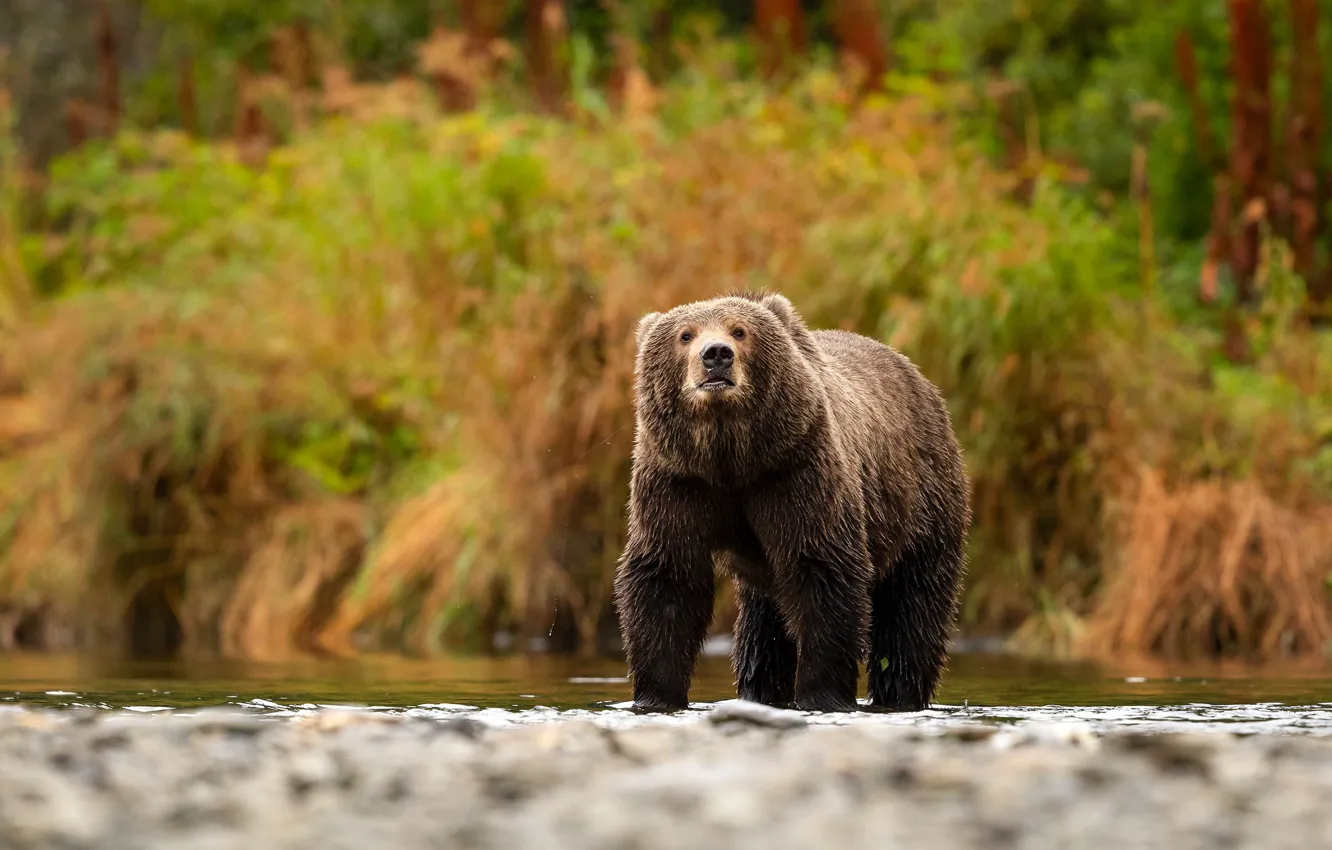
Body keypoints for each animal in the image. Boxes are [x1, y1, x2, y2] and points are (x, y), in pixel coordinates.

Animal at [613, 292, 970, 713]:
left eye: (739, 330)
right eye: (685, 335)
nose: (716, 354)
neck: (731, 458)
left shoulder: (796, 470)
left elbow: (822, 571)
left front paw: (822, 694)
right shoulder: (677, 481)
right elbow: (668, 578)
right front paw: (655, 696)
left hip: (923, 503)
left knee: (912, 611)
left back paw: (900, 692)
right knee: (761, 632)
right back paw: (760, 691)